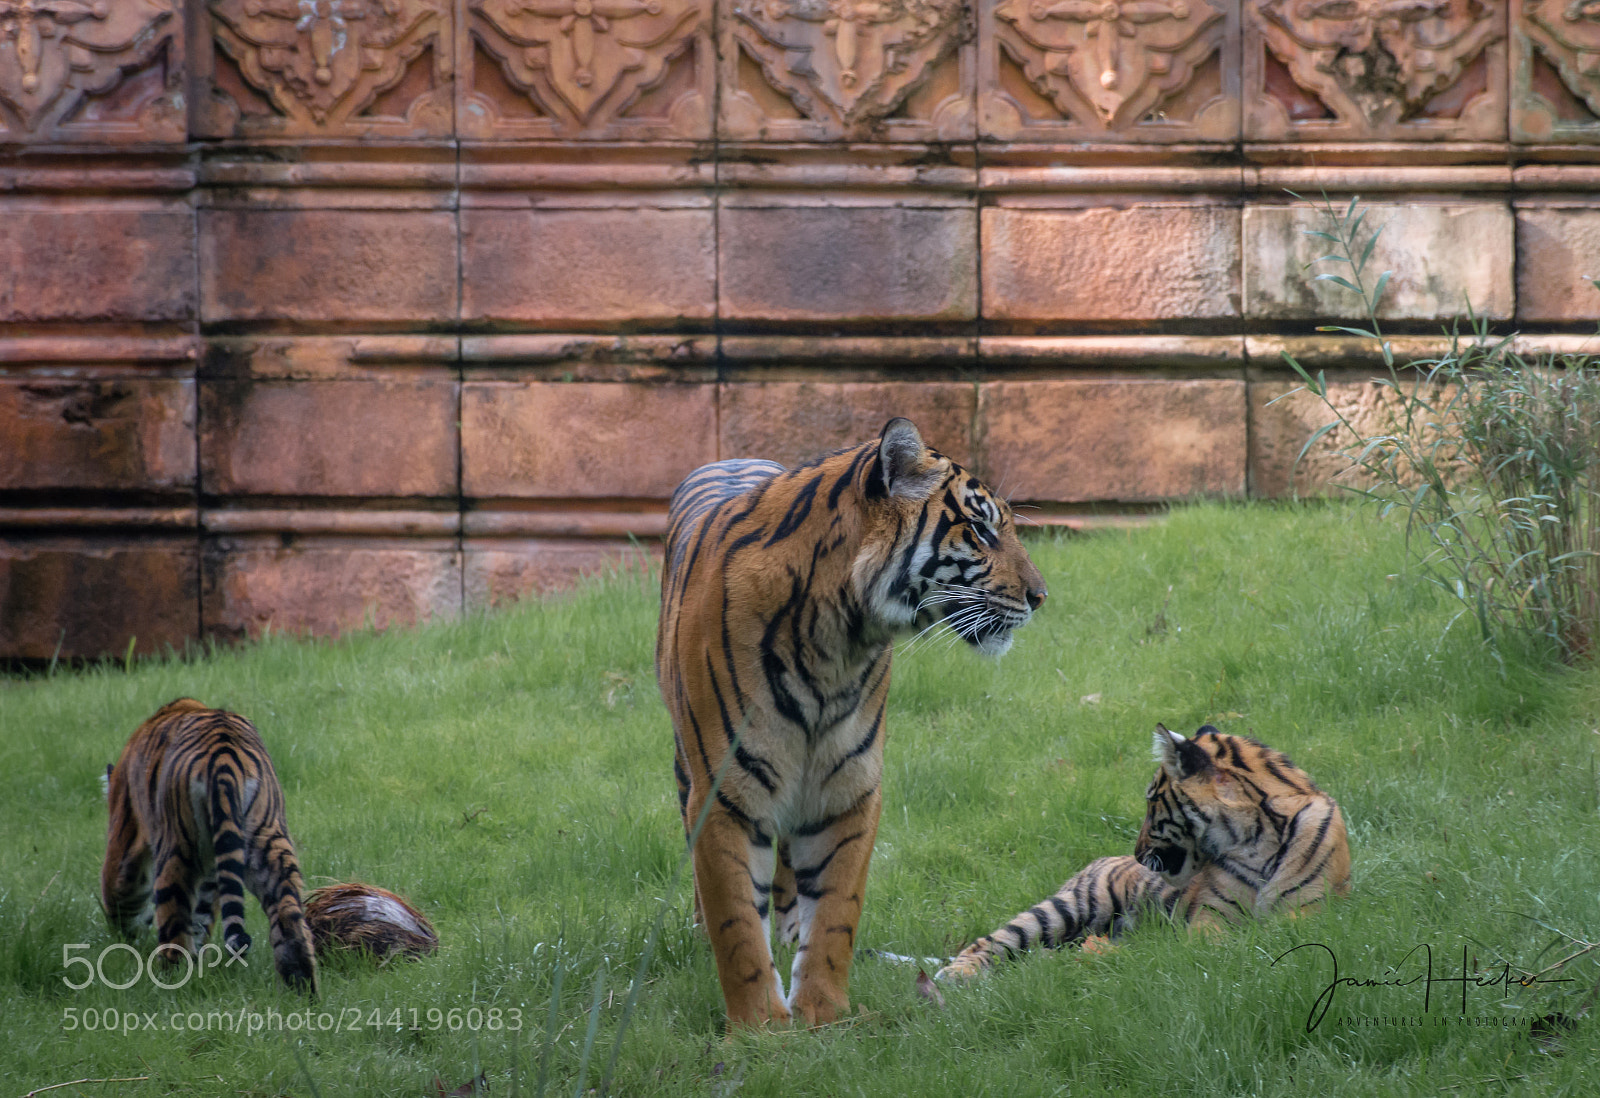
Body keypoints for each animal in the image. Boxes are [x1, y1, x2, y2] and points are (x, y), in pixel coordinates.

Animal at [100, 698, 318, 994]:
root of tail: (225, 759)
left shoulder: (124, 837)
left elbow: (118, 891)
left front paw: (126, 938)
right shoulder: (216, 871)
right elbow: (202, 918)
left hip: (175, 852)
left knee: (174, 934)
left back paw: (169, 989)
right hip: (269, 842)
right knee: (289, 918)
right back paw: (303, 993)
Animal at [657, 417, 1047, 1029]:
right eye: (982, 531)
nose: (1041, 596)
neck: (835, 641)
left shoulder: (848, 785)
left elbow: (835, 912)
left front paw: (822, 1015)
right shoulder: (726, 794)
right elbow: (737, 925)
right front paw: (760, 1029)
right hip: (687, 764)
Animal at [936, 724, 1350, 979]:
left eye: (1152, 801)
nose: (1136, 854)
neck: (1255, 837)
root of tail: (1097, 859)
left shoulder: (1308, 912)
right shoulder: (1210, 919)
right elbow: (1217, 942)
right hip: (1070, 906)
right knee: (995, 940)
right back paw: (955, 976)